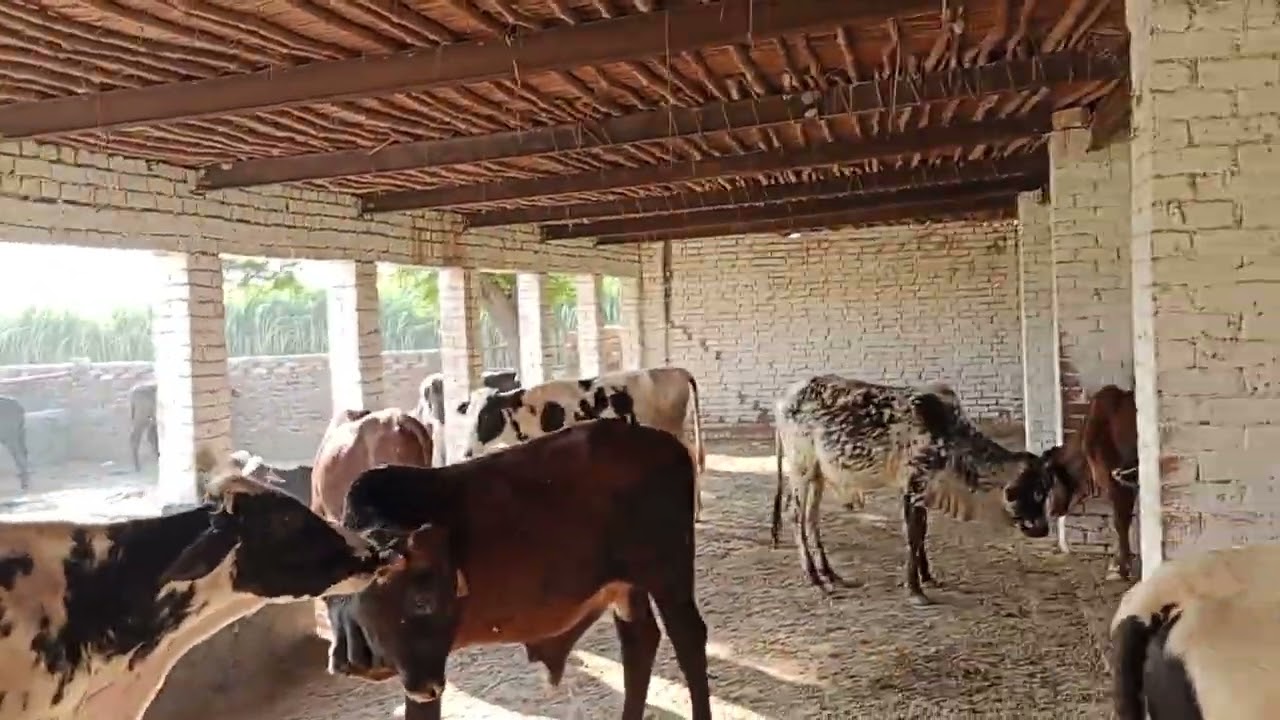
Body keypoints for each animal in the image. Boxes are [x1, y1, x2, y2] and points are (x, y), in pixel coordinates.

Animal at [325, 419, 711, 720]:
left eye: (429, 600)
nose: (430, 687)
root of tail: (668, 443)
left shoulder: (425, 665)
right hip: (628, 584)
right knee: (639, 640)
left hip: (668, 572)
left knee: (688, 639)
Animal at [771, 375, 1056, 605]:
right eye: (1035, 491)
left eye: (1046, 489)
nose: (1043, 529)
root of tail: (784, 397)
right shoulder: (914, 484)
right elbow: (913, 535)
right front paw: (915, 589)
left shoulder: (925, 489)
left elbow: (922, 534)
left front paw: (927, 576)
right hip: (801, 468)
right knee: (795, 515)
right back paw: (814, 578)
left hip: (817, 476)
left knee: (811, 518)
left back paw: (831, 575)